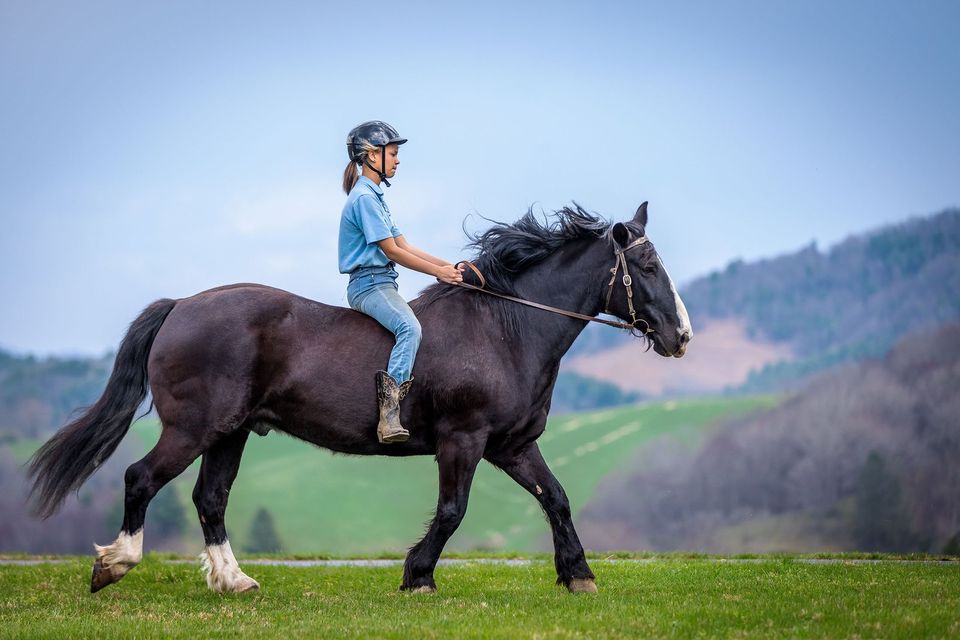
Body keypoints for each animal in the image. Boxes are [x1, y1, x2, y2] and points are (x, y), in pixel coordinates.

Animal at [28, 201, 692, 594]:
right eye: (648, 267)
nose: (681, 337)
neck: (506, 328)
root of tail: (182, 305)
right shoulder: (464, 440)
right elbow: (453, 511)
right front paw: (417, 577)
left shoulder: (512, 445)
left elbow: (557, 498)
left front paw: (578, 575)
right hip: (192, 429)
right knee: (140, 479)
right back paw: (114, 564)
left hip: (230, 432)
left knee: (209, 499)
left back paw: (235, 581)